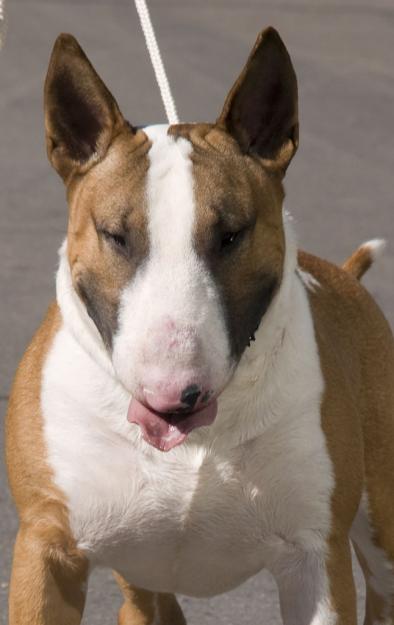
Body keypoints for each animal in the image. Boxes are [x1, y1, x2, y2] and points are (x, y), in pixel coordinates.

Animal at [6, 25, 394, 624]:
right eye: (115, 235)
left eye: (231, 235)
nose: (175, 396)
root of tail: (347, 276)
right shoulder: (47, 546)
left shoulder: (315, 557)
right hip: (140, 581)